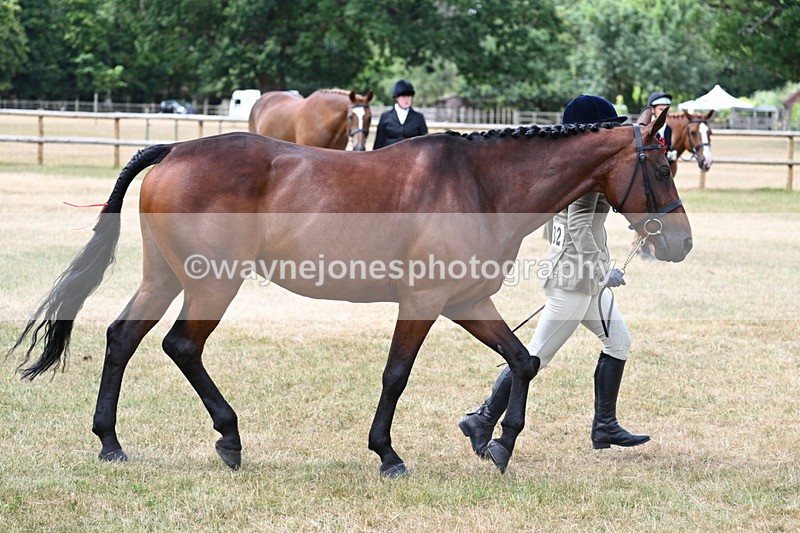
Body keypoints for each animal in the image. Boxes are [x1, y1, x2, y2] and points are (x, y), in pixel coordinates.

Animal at [10, 109, 692, 478]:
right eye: (662, 167)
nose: (681, 243)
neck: (480, 184)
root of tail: (176, 148)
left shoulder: (467, 302)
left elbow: (521, 360)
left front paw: (494, 443)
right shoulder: (423, 304)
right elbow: (396, 375)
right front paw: (388, 453)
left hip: (164, 278)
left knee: (122, 337)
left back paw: (111, 443)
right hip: (211, 285)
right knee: (181, 346)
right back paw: (229, 438)